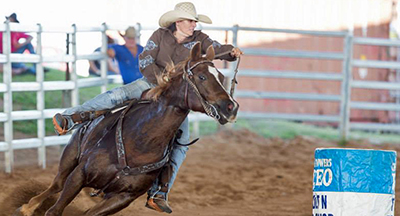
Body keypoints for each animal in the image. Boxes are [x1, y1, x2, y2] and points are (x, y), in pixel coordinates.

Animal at [18, 42, 238, 216]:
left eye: (220, 76)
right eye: (201, 77)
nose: (231, 107)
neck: (141, 142)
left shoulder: (123, 198)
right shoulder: (80, 173)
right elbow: (54, 209)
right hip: (70, 156)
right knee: (56, 184)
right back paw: (28, 207)